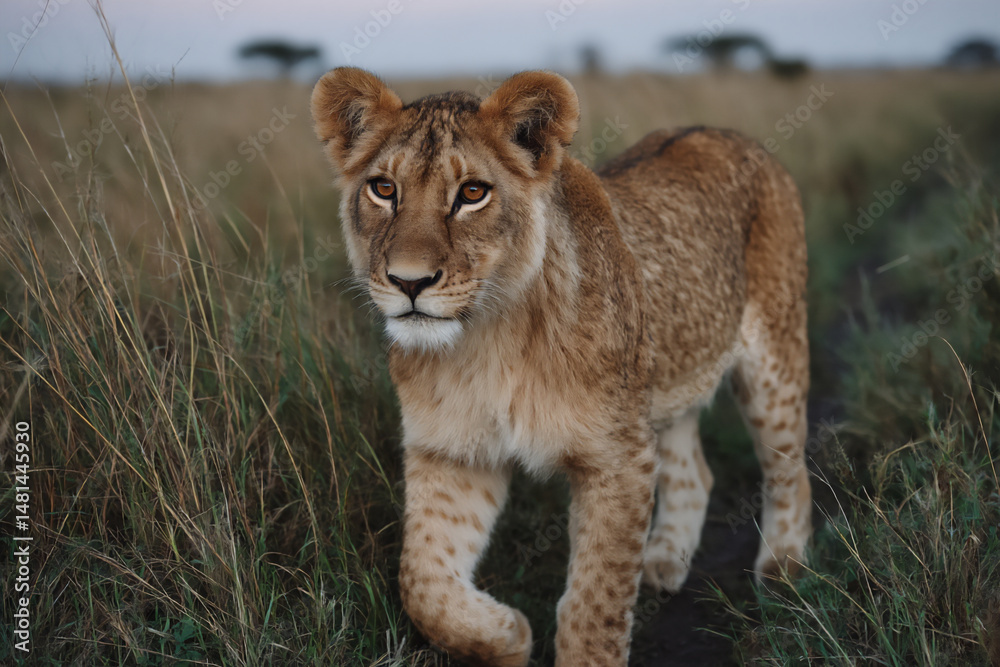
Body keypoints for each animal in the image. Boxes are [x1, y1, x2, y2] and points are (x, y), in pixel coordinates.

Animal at [311, 68, 811, 667]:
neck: (487, 339)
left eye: (472, 193)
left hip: (775, 361)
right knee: (694, 467)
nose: (410, 282)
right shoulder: (452, 452)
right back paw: (664, 559)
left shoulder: (617, 458)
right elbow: (422, 584)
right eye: (383, 189)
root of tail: (730, 133)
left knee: (789, 467)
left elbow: (595, 609)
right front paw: (506, 636)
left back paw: (783, 570)